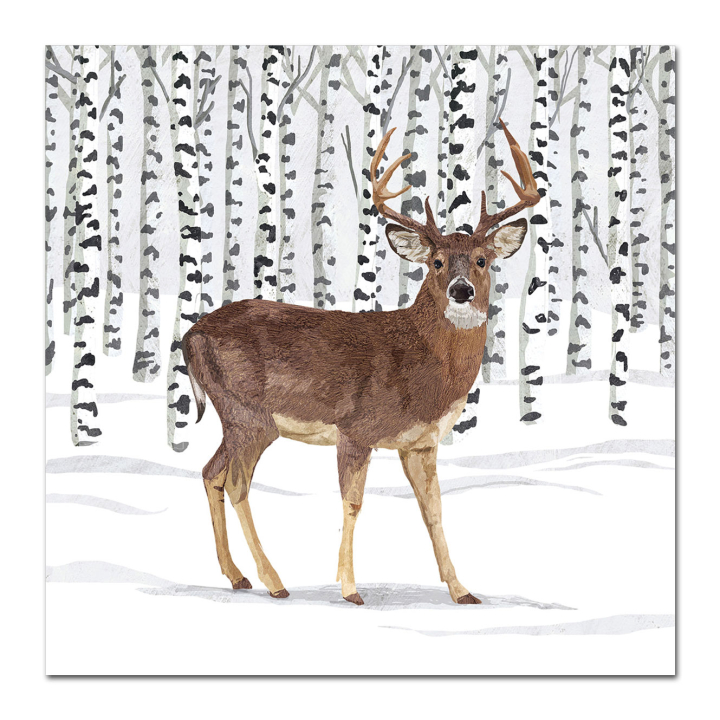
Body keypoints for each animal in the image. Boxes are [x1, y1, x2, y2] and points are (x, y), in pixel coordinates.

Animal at [182, 118, 540, 605]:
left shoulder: (420, 442)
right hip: (248, 413)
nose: (461, 290)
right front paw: (350, 589)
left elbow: (433, 510)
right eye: (437, 261)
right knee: (236, 482)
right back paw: (274, 581)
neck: (423, 369)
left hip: (233, 416)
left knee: (210, 473)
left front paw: (462, 590)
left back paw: (237, 576)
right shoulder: (356, 428)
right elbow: (353, 503)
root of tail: (189, 336)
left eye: (483, 260)